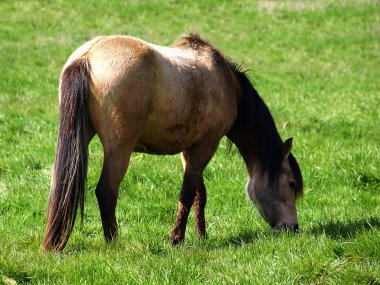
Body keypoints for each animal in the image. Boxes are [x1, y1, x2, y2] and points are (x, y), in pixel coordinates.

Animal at [42, 32, 302, 252]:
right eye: (291, 184)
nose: (293, 228)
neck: (225, 82)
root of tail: (87, 56)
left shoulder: (189, 149)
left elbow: (199, 194)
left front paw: (201, 235)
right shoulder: (206, 146)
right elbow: (187, 194)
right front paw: (177, 239)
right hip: (119, 149)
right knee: (106, 191)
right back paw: (113, 242)